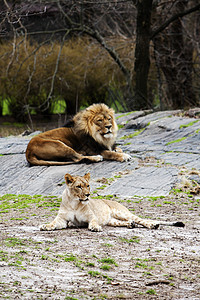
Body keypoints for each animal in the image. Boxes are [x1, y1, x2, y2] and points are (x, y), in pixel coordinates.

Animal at [39, 172, 185, 231]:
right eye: (79, 186)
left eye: (88, 185)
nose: (88, 195)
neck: (75, 203)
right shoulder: (62, 220)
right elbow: (53, 223)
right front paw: (45, 226)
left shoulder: (92, 217)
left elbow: (93, 222)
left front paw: (95, 227)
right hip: (112, 220)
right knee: (127, 222)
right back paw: (130, 225)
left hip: (122, 212)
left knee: (143, 220)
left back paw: (153, 225)